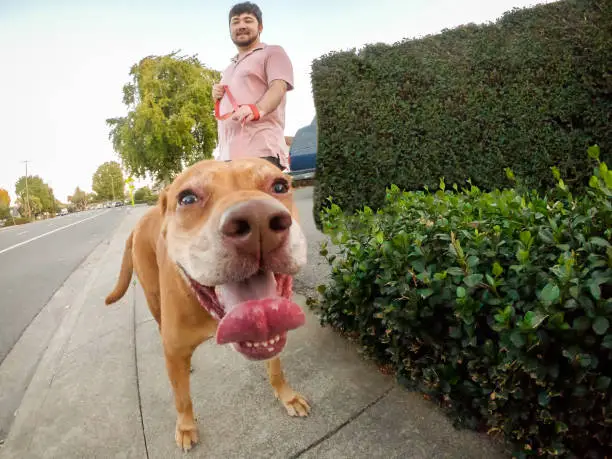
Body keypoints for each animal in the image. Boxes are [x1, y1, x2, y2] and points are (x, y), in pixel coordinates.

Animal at [104, 156, 310, 452]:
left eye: (280, 185)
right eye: (187, 198)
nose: (258, 219)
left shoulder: (273, 334)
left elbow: (276, 368)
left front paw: (287, 396)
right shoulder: (175, 347)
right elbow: (182, 398)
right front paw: (186, 427)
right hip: (153, 297)